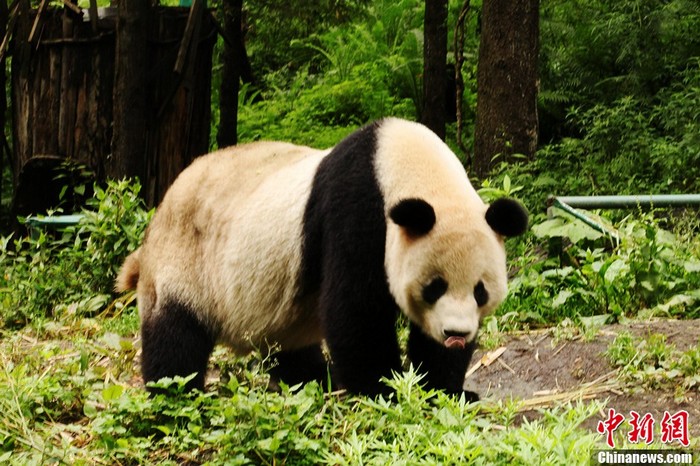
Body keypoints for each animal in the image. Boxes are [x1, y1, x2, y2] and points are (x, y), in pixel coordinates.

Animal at [117, 118, 528, 398]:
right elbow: (354, 309)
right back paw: (175, 394)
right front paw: (384, 390)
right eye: (434, 286)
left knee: (291, 349)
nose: (456, 335)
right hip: (186, 260)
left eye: (480, 291)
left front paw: (446, 390)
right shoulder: (356, 210)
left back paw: (318, 378)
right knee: (176, 335)